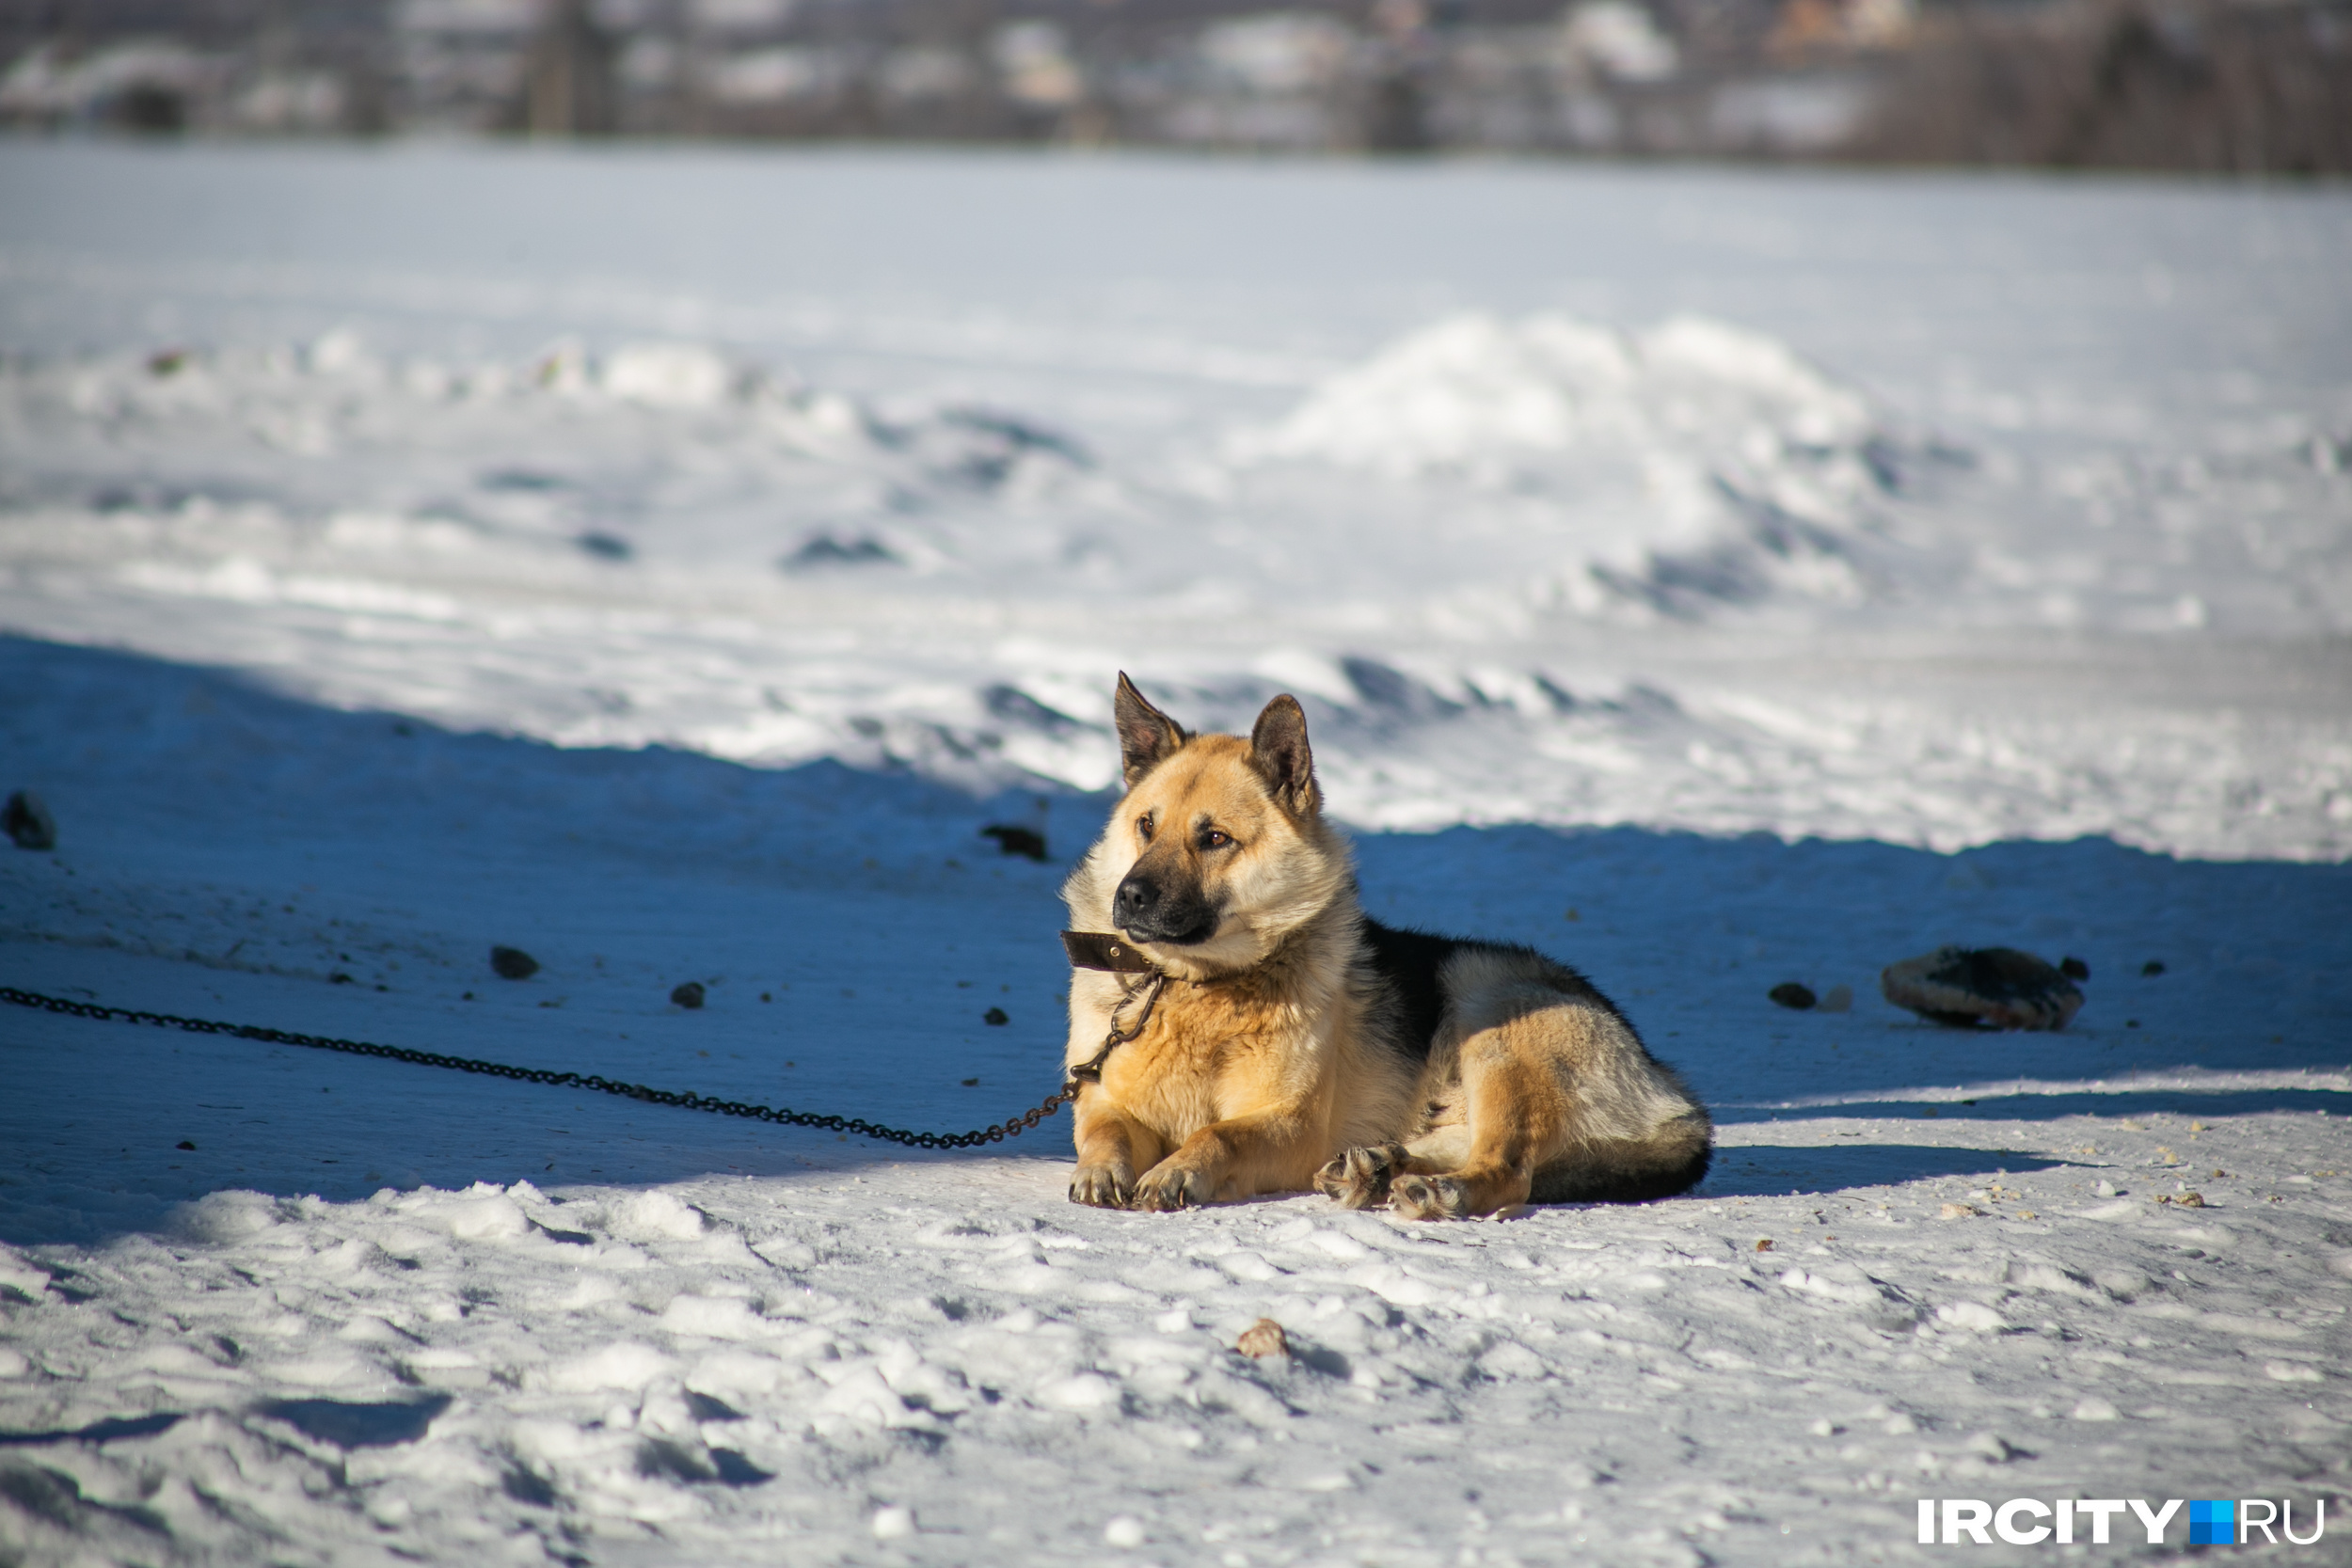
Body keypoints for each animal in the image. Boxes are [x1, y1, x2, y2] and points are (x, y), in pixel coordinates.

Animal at [1063, 667, 1712, 1222]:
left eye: (1216, 838)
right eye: (1146, 826)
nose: (1130, 897)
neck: (1187, 985)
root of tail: (1672, 1094)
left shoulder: (1291, 1123)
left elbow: (1219, 1133)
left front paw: (1179, 1169)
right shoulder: (1101, 1097)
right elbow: (1103, 1129)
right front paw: (1100, 1170)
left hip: (1491, 1009)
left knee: (1508, 1170)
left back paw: (1435, 1190)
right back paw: (1376, 1170)